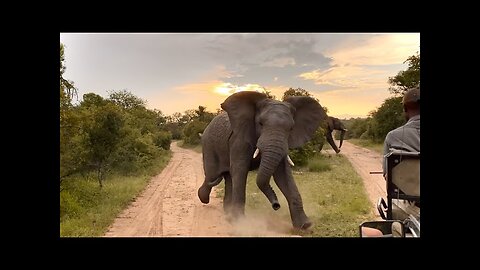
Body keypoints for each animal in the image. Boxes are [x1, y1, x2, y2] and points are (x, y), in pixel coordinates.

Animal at [197, 91, 328, 230]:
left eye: (291, 128)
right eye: (260, 124)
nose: (276, 205)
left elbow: (283, 176)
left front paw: (305, 225)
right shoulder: (239, 140)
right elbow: (240, 170)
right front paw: (240, 223)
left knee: (227, 177)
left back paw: (227, 213)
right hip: (208, 144)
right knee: (212, 174)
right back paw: (204, 198)